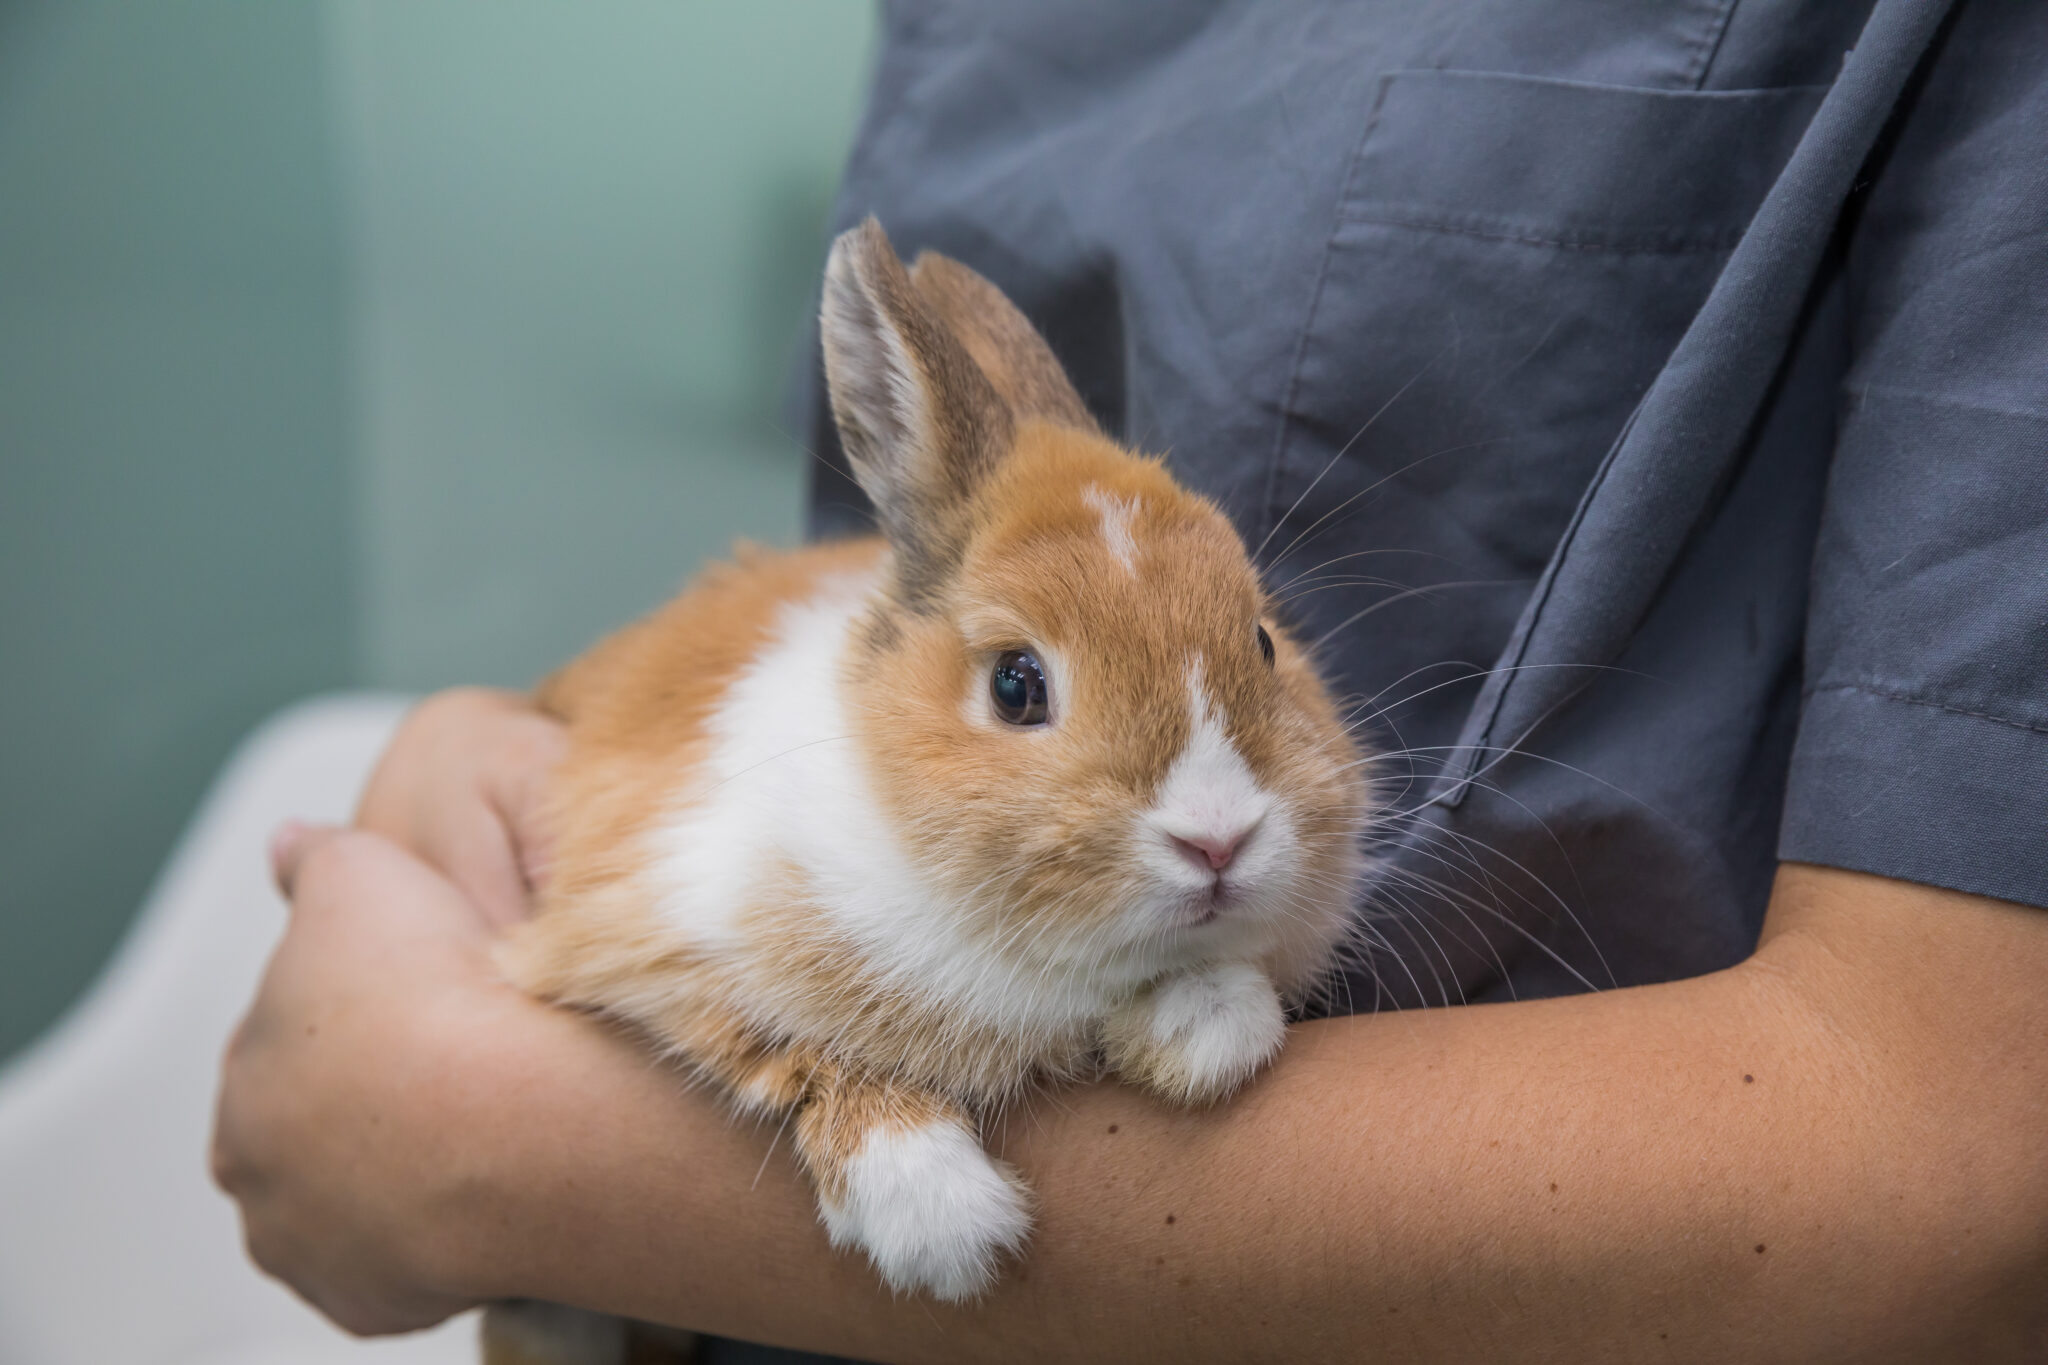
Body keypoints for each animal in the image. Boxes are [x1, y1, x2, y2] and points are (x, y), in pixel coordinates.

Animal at [479, 219, 1372, 1362]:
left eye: (1261, 641)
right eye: (1016, 684)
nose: (1217, 840)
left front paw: (1203, 1035)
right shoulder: (654, 931)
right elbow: (801, 1048)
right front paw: (941, 1221)